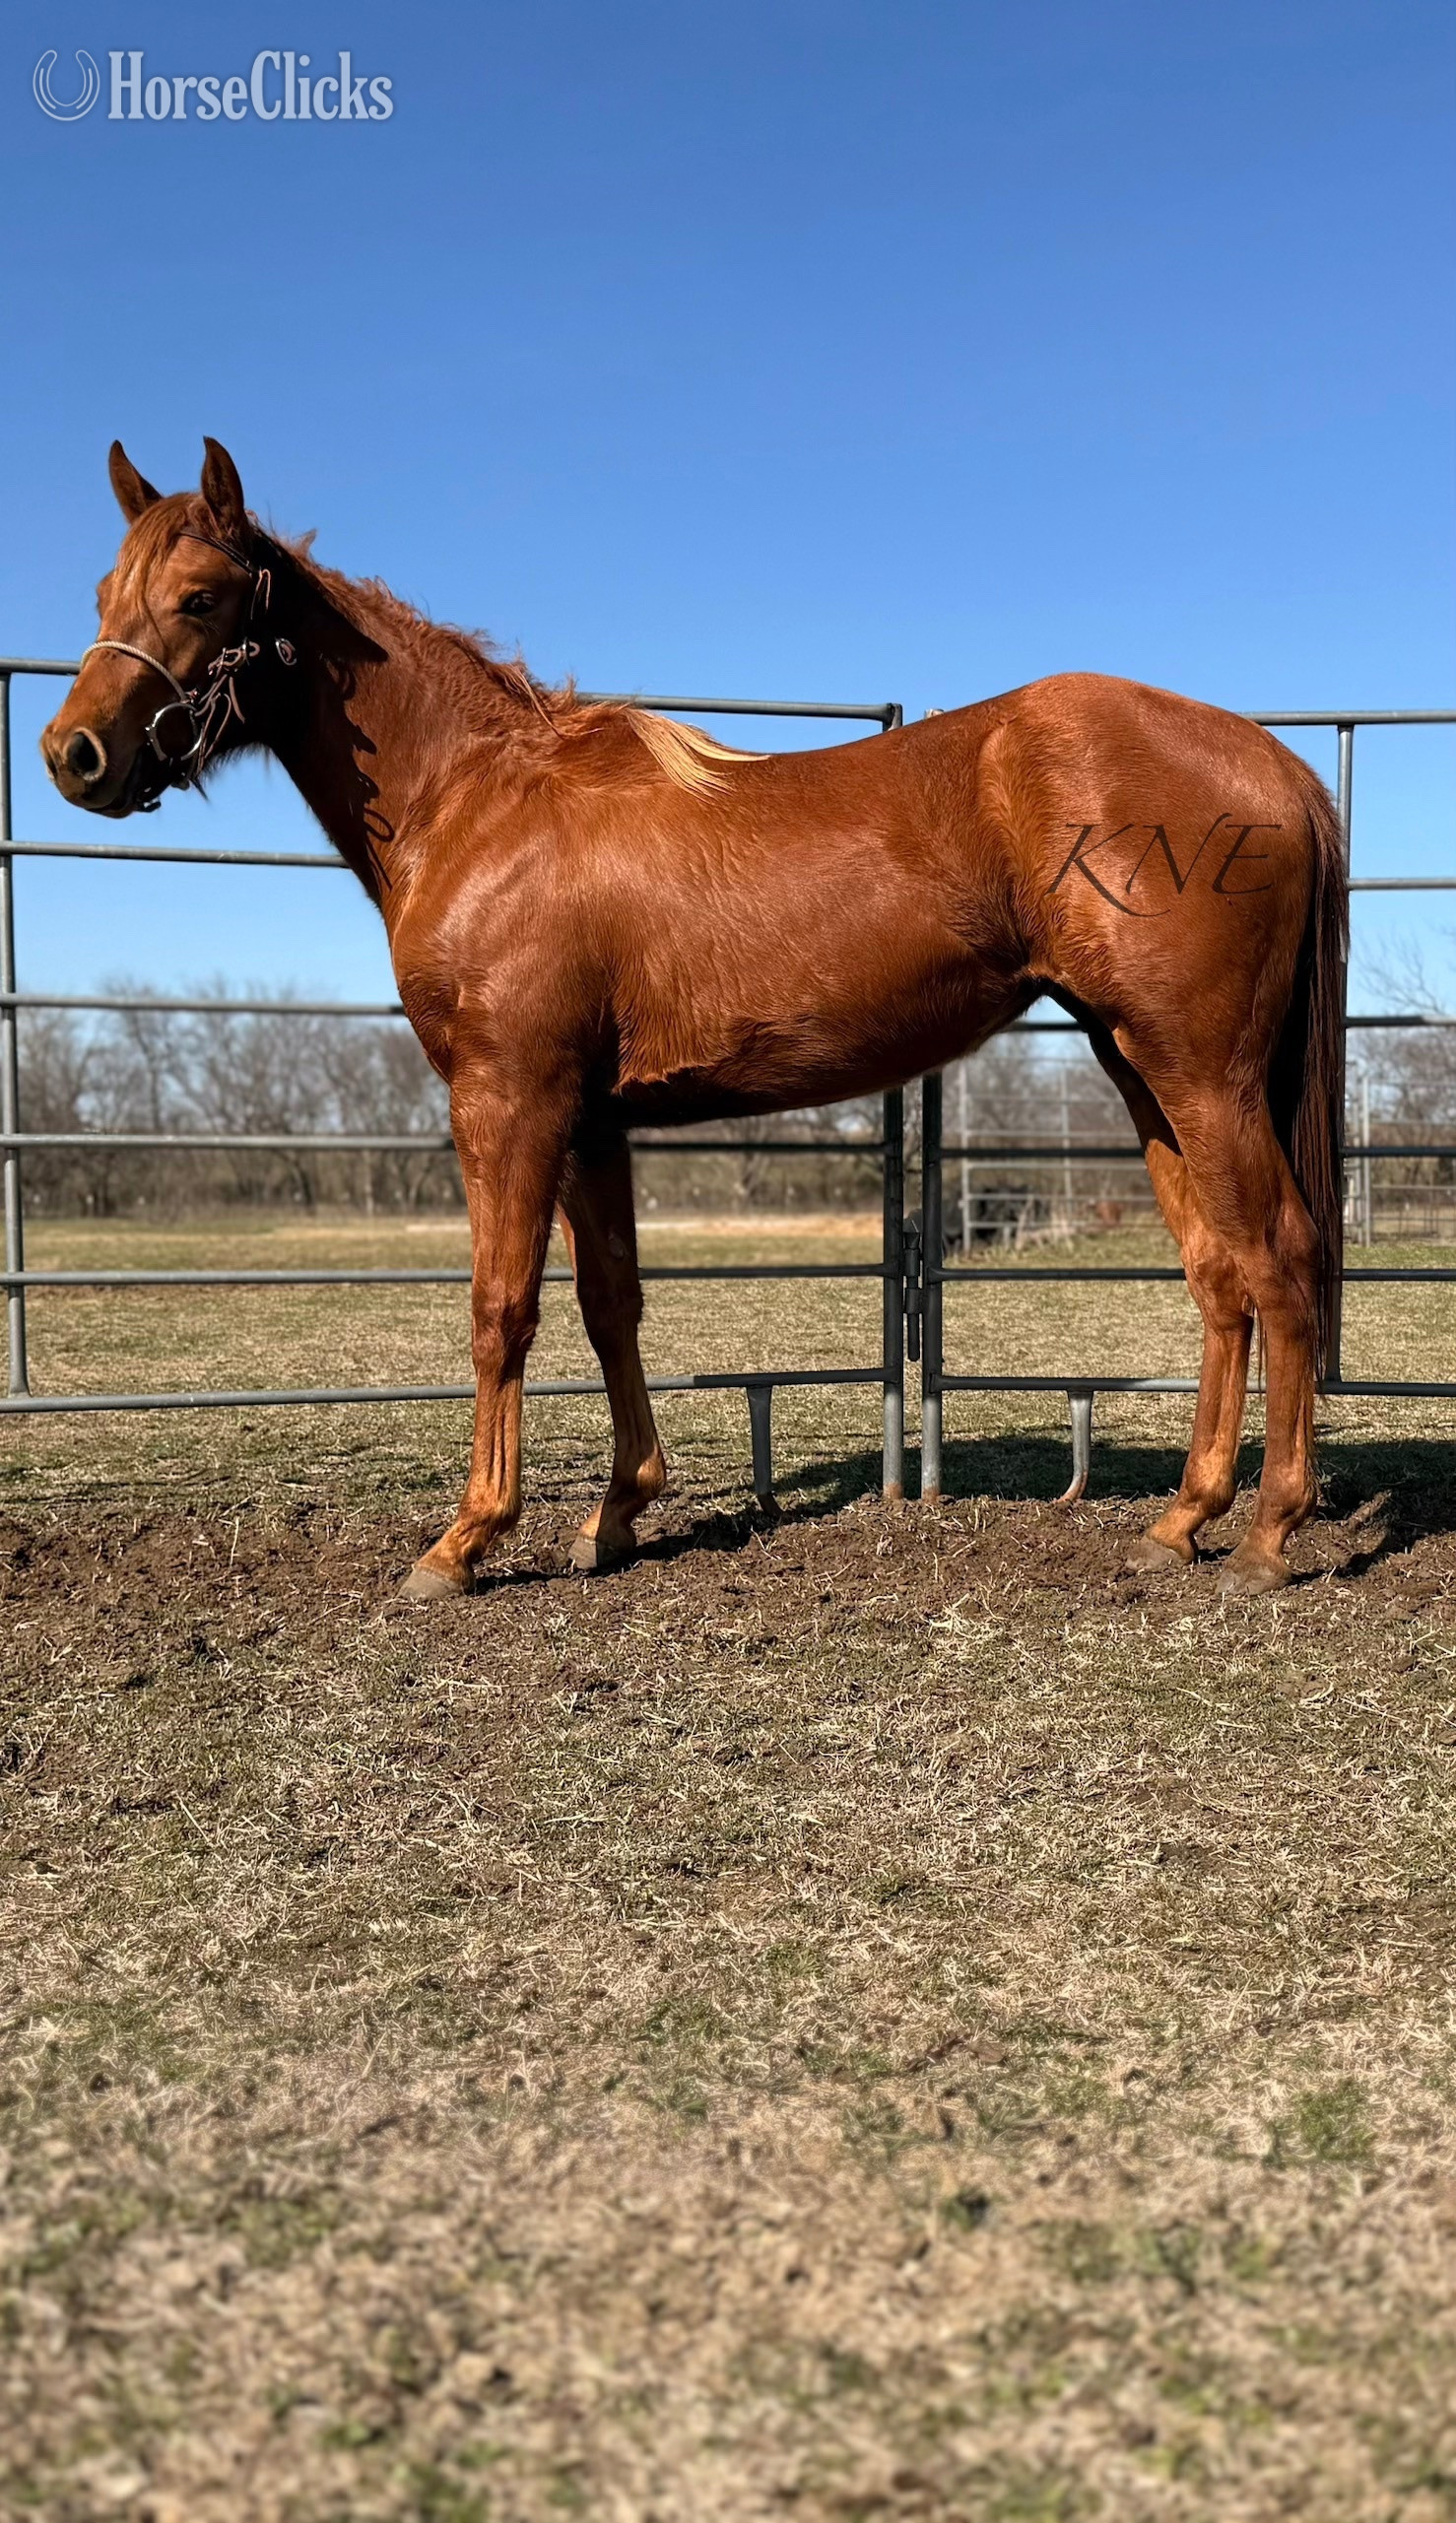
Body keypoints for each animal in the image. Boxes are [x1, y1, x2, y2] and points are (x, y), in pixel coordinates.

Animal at [41, 439, 1347, 1601]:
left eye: (200, 596)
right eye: (103, 594)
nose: (72, 755)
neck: (481, 802)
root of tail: (1272, 763)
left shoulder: (508, 1100)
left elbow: (499, 1309)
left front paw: (466, 1540)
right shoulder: (590, 1121)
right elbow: (608, 1303)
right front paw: (618, 1511)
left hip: (1202, 1075)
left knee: (1277, 1257)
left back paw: (1268, 1533)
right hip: (1141, 1070)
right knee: (1216, 1274)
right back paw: (1180, 1520)